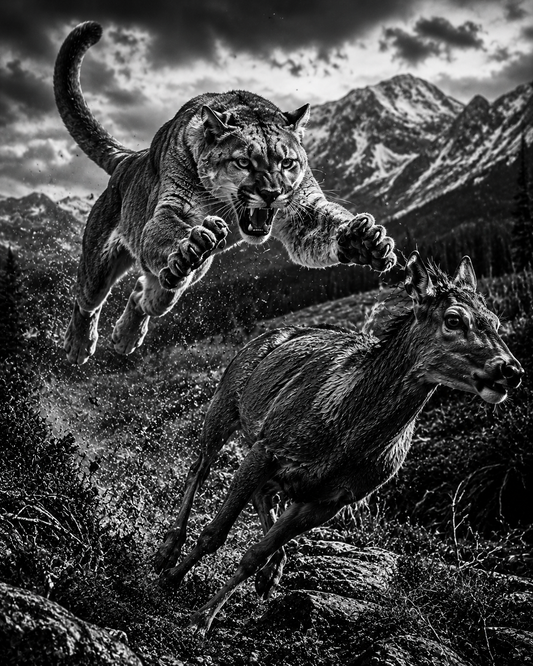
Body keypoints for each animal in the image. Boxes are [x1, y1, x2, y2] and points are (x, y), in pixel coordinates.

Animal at [54, 22, 397, 365]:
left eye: (287, 162)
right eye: (243, 162)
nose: (272, 193)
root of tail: (129, 159)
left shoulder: (303, 210)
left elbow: (326, 227)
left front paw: (363, 241)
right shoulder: (174, 208)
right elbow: (169, 231)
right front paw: (192, 245)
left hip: (179, 281)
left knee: (146, 292)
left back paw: (125, 337)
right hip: (99, 262)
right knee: (87, 299)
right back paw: (78, 345)